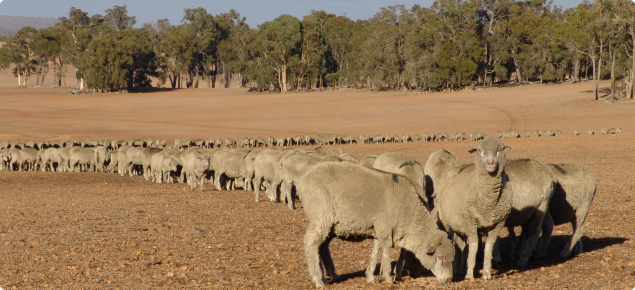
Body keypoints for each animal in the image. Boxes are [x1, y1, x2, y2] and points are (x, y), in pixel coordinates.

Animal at [300, 162, 454, 286]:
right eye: (440, 257)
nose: (449, 280)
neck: (408, 211)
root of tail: (304, 179)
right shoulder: (385, 225)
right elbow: (385, 249)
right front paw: (388, 277)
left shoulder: (378, 228)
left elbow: (376, 249)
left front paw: (370, 276)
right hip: (320, 215)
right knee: (310, 242)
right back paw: (318, 279)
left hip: (329, 223)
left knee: (322, 246)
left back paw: (329, 276)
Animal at [438, 138, 512, 278]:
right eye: (480, 151)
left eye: (499, 150)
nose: (490, 163)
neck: (489, 201)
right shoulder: (470, 222)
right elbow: (473, 246)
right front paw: (469, 274)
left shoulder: (498, 223)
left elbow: (488, 247)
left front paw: (486, 273)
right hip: (454, 223)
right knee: (458, 245)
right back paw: (458, 269)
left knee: (460, 243)